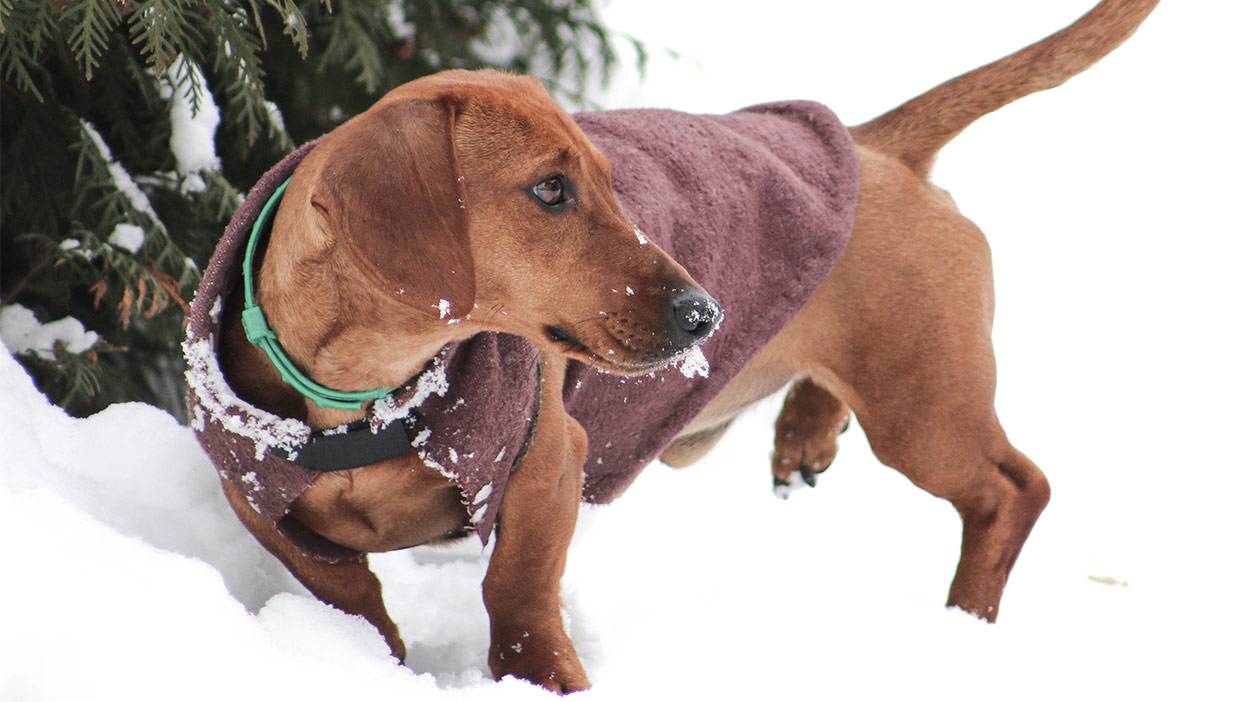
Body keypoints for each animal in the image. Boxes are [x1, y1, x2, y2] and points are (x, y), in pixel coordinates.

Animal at [185, 0, 1160, 689]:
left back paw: (966, 620)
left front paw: (542, 675)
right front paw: (375, 663)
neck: (369, 396)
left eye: (612, 182)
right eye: (550, 190)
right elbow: (354, 602)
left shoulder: (549, 459)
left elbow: (518, 590)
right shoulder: (261, 506)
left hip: (925, 408)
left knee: (1014, 490)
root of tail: (870, 147)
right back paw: (806, 432)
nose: (706, 316)